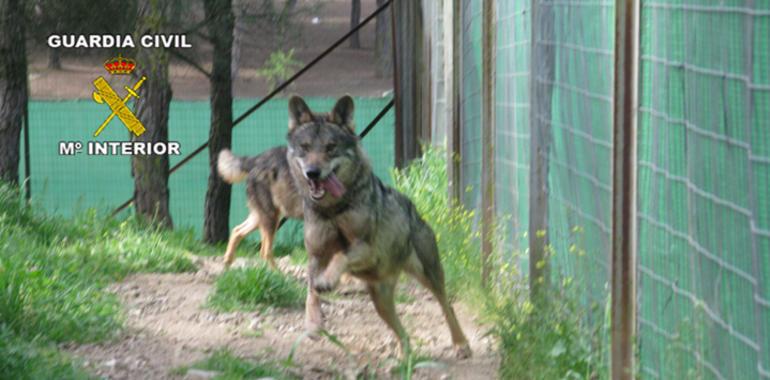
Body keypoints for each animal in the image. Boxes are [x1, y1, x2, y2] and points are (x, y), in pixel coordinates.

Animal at [284, 95, 472, 360]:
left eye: (330, 147)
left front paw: (329, 281)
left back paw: (461, 344)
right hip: (380, 300)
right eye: (305, 147)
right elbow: (311, 292)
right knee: (402, 332)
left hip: (429, 275)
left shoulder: (365, 248)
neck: (334, 209)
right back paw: (405, 357)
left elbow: (340, 255)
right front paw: (312, 323)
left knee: (447, 306)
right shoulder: (316, 256)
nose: (313, 172)